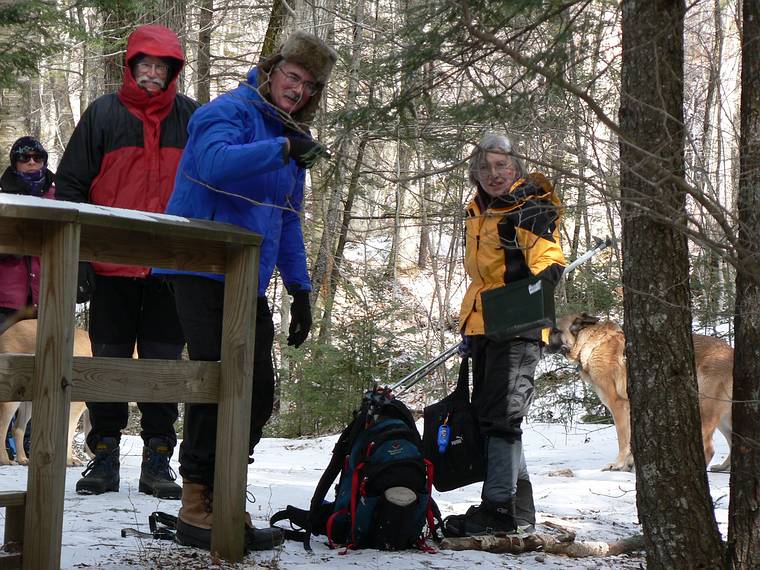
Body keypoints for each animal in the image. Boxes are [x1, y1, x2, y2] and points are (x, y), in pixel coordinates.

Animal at [0, 312, 90, 464]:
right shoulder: (76, 406)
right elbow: (70, 431)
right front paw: (69, 459)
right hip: (12, 398)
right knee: (2, 426)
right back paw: (4, 459)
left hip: (30, 400)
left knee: (18, 428)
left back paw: (23, 458)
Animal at [548, 310, 732, 470]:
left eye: (556, 330)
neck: (590, 343)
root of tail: (731, 354)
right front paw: (628, 464)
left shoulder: (618, 406)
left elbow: (623, 439)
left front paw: (618, 464)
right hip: (723, 417)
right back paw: (723, 467)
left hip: (704, 409)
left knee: (709, 448)